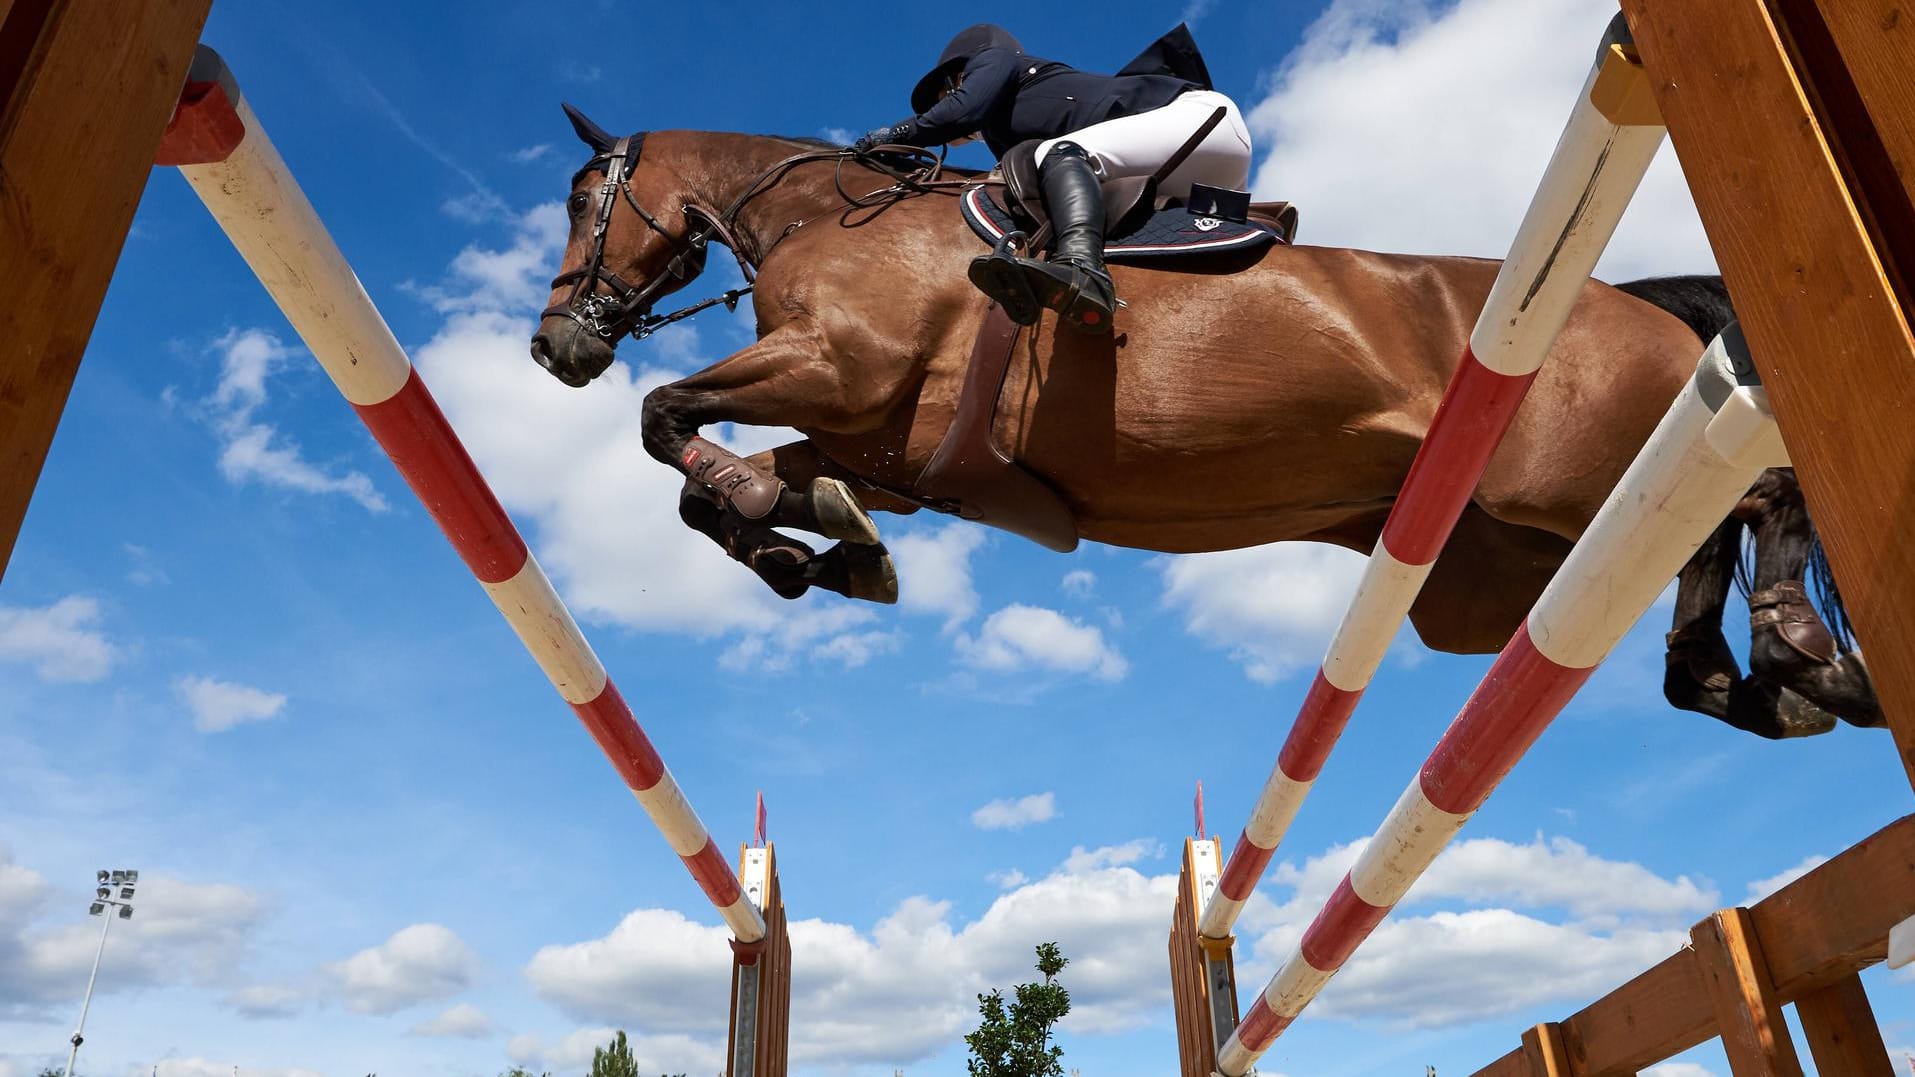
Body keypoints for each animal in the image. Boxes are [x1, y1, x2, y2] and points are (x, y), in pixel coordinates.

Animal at [532, 109, 1876, 735]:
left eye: (585, 200)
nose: (554, 346)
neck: (820, 215)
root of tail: (1639, 299)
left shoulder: (834, 369)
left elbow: (664, 419)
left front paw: (775, 519)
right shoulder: (888, 448)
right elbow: (717, 482)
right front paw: (812, 544)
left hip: (1559, 482)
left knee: (1757, 494)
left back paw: (1794, 652)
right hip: (1521, 539)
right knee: (1700, 538)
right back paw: (1733, 677)